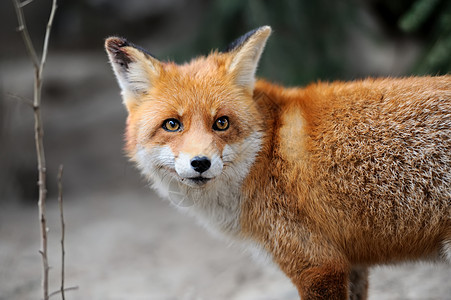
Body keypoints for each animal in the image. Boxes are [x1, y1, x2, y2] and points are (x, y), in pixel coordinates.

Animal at [106, 26, 451, 300]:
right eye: (172, 125)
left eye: (221, 123)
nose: (200, 163)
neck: (266, 151)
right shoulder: (351, 263)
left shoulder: (317, 265)